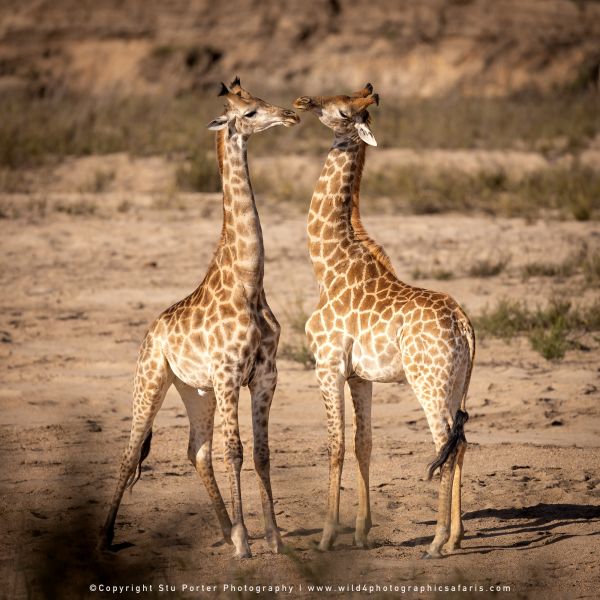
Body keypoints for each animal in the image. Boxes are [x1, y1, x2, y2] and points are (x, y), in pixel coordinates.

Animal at [98, 78, 300, 556]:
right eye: (249, 112)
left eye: (262, 100)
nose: (290, 115)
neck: (249, 282)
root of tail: (151, 331)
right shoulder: (228, 373)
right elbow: (236, 451)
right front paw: (248, 545)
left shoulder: (265, 375)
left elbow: (261, 453)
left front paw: (272, 539)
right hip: (151, 378)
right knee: (131, 451)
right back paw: (105, 537)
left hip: (195, 390)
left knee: (196, 450)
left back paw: (229, 532)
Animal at [292, 84, 476, 556]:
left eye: (341, 111)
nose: (303, 102)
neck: (327, 266)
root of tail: (465, 324)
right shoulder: (360, 376)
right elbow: (364, 444)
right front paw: (361, 532)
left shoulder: (327, 365)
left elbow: (336, 445)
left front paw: (327, 536)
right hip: (456, 383)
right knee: (461, 442)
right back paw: (457, 538)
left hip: (428, 381)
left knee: (443, 443)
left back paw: (437, 542)